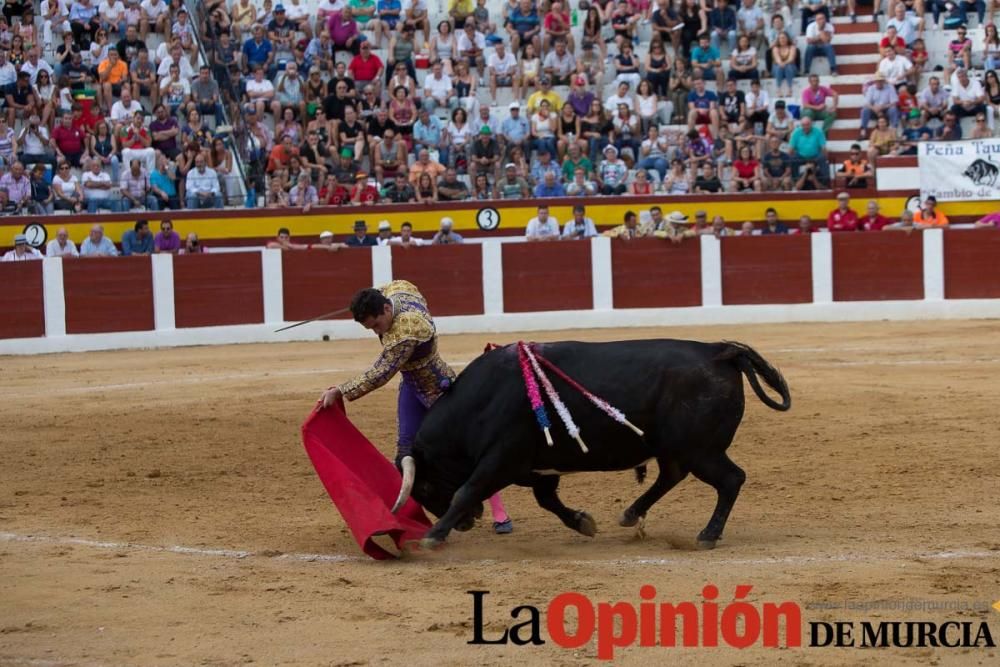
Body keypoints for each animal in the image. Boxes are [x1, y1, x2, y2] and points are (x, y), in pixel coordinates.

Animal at [394, 342, 792, 552]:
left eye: (424, 487)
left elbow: (467, 489)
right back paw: (630, 514)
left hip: (701, 449)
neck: (480, 401)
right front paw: (583, 522)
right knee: (672, 475)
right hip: (677, 448)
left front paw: (433, 535)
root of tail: (718, 351)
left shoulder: (501, 459)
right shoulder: (536, 466)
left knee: (730, 479)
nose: (466, 524)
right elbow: (548, 500)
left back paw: (708, 535)